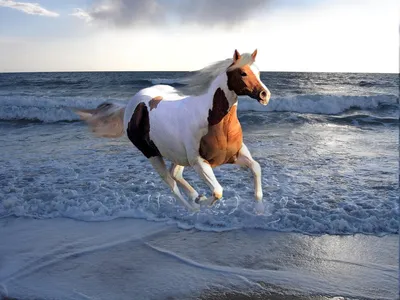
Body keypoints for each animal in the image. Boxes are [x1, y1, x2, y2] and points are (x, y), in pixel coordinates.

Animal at [74, 49, 270, 213]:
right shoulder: (199, 162)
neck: (214, 121)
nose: (264, 95)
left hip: (177, 154)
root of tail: (131, 104)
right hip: (153, 155)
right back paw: (192, 207)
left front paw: (259, 209)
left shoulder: (236, 154)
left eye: (259, 72)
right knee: (170, 183)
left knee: (174, 174)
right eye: (243, 72)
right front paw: (201, 203)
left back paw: (195, 196)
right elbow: (217, 191)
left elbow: (256, 168)